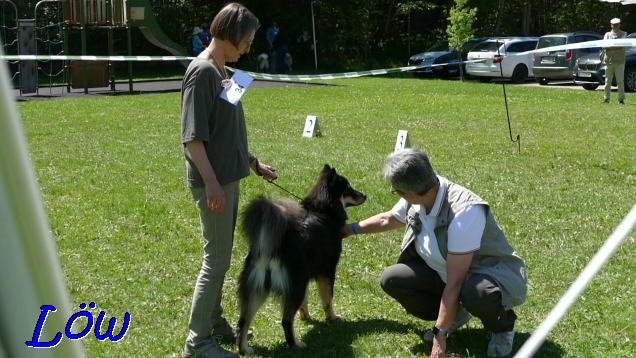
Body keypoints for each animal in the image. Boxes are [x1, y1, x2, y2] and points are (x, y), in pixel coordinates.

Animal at [236, 165, 366, 356]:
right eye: (348, 188)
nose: (364, 195)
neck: (322, 211)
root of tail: (274, 249)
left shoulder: (306, 277)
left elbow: (306, 301)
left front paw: (306, 317)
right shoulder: (327, 270)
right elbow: (328, 299)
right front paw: (332, 318)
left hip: (257, 289)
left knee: (243, 321)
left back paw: (245, 349)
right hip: (292, 286)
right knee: (285, 320)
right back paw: (295, 344)